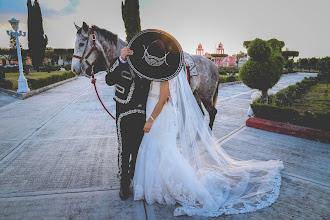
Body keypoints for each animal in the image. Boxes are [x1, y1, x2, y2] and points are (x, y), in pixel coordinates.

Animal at [71, 21, 219, 128]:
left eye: (81, 43)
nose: (74, 68)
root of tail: (213, 65)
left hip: (205, 95)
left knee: (212, 112)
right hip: (195, 94)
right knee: (201, 113)